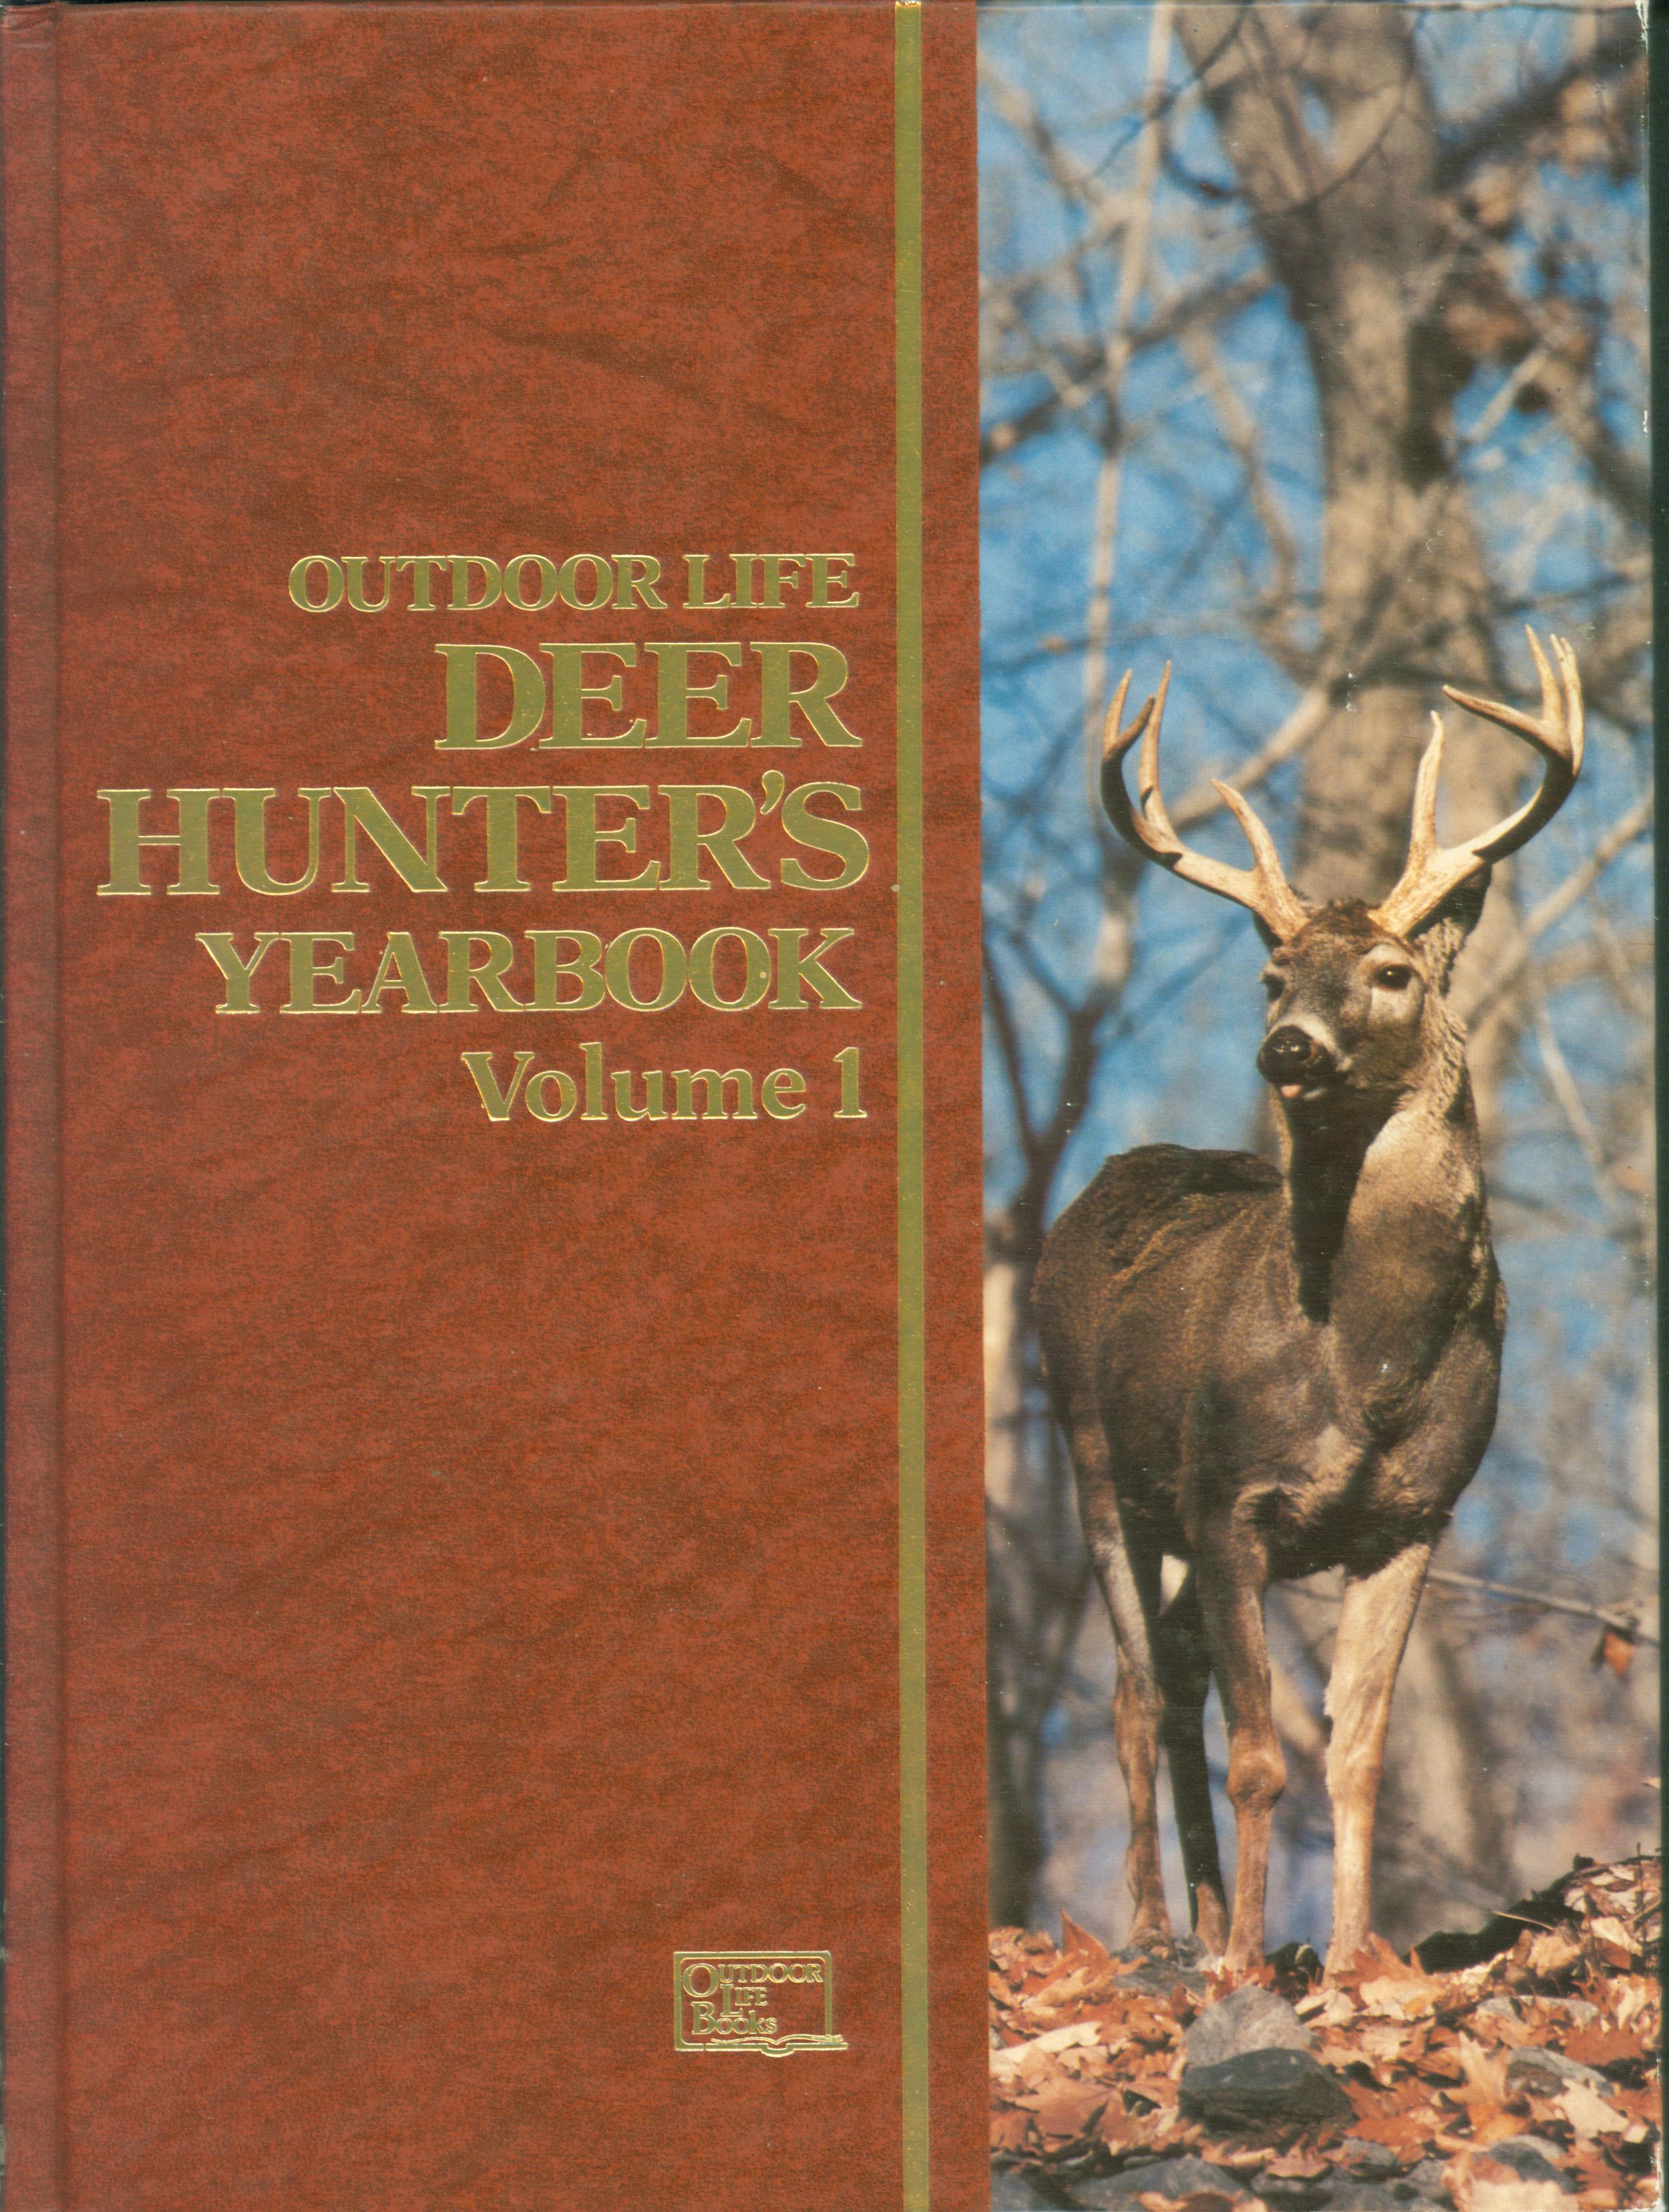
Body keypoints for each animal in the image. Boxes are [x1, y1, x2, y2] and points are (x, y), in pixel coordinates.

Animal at [1033, 631, 1582, 1977]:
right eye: (1272, 973)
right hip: (1093, 1454)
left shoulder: (1414, 1515)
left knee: (1171, 1672)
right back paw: (1154, 1934)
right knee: (1136, 1692)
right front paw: (1245, 1961)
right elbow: (1258, 1758)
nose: (1287, 1047)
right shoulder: (1231, 1497)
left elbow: (1355, 1753)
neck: (1368, 1372)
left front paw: (1346, 1962)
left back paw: (1199, 1920)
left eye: (1390, 972)